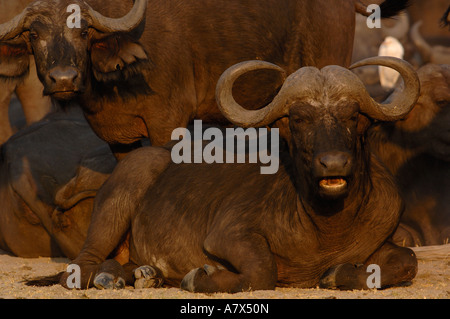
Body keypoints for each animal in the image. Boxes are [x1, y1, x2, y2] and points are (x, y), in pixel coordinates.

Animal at [60, 57, 422, 292]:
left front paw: (337, 274)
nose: (333, 163)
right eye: (299, 119)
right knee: (78, 267)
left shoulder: (383, 235)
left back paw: (146, 274)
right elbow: (262, 272)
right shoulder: (228, 234)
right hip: (120, 195)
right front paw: (198, 278)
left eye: (352, 116)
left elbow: (407, 261)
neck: (328, 225)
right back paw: (108, 278)